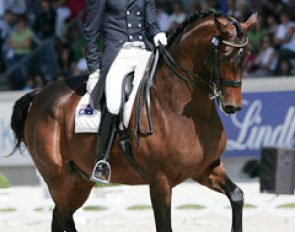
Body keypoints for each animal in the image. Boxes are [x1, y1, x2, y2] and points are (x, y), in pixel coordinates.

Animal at [10, 10, 258, 232]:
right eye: (224, 55)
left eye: (246, 54)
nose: (233, 106)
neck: (180, 106)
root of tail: (40, 95)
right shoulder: (160, 182)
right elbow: (164, 226)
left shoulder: (206, 169)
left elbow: (237, 196)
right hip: (58, 179)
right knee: (63, 216)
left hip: (79, 180)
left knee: (59, 216)